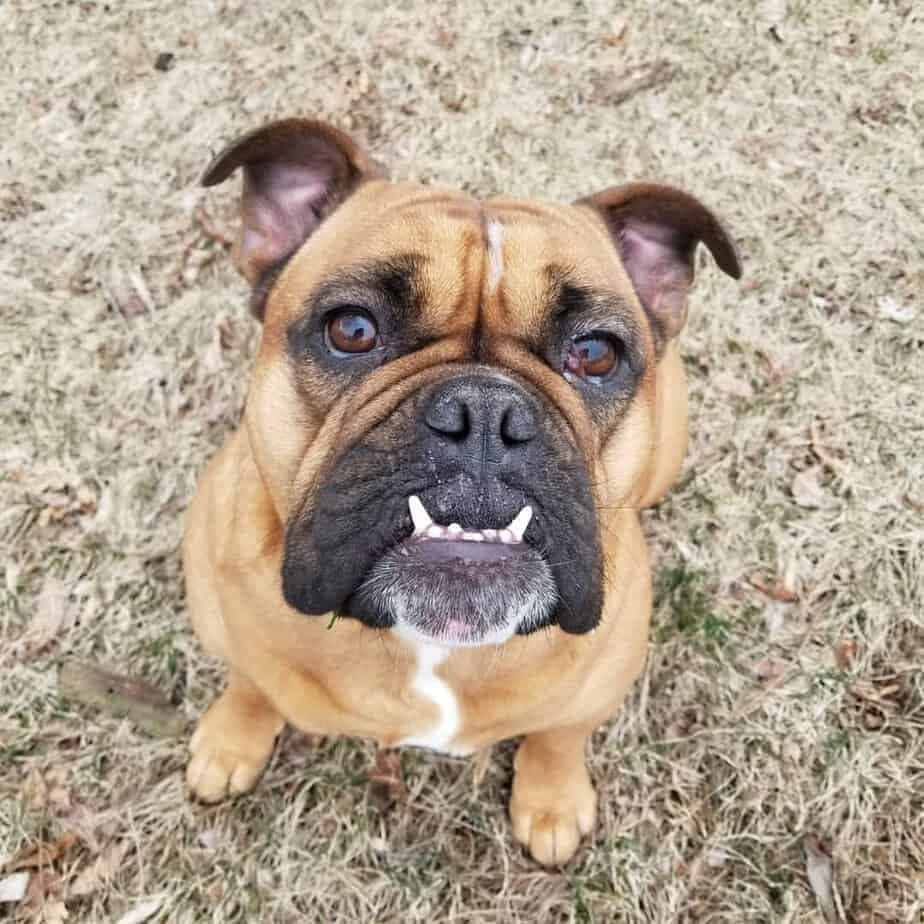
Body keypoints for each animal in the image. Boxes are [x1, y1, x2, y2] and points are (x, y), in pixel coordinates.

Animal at [184, 117, 740, 868]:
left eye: (596, 353)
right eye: (352, 330)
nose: (483, 413)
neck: (429, 644)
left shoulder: (599, 685)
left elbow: (561, 733)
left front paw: (551, 799)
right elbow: (248, 682)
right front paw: (231, 740)